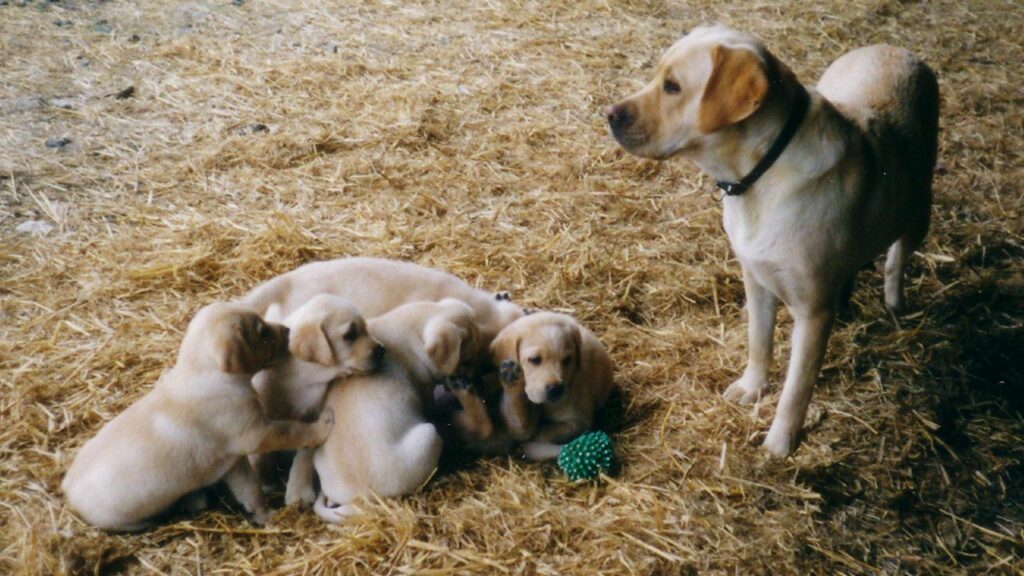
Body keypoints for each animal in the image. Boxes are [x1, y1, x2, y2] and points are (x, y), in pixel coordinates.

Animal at [61, 301, 333, 528]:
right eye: (262, 333)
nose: (287, 330)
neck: (203, 372)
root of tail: (67, 490)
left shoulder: (232, 461)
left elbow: (250, 491)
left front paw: (264, 517)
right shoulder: (257, 433)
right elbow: (294, 430)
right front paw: (322, 423)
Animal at [606, 24, 937, 455]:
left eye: (673, 87)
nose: (609, 115)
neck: (760, 175)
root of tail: (896, 49)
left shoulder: (813, 313)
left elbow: (796, 389)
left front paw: (780, 442)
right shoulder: (755, 278)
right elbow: (758, 342)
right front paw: (751, 388)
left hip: (919, 209)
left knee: (897, 260)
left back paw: (895, 303)